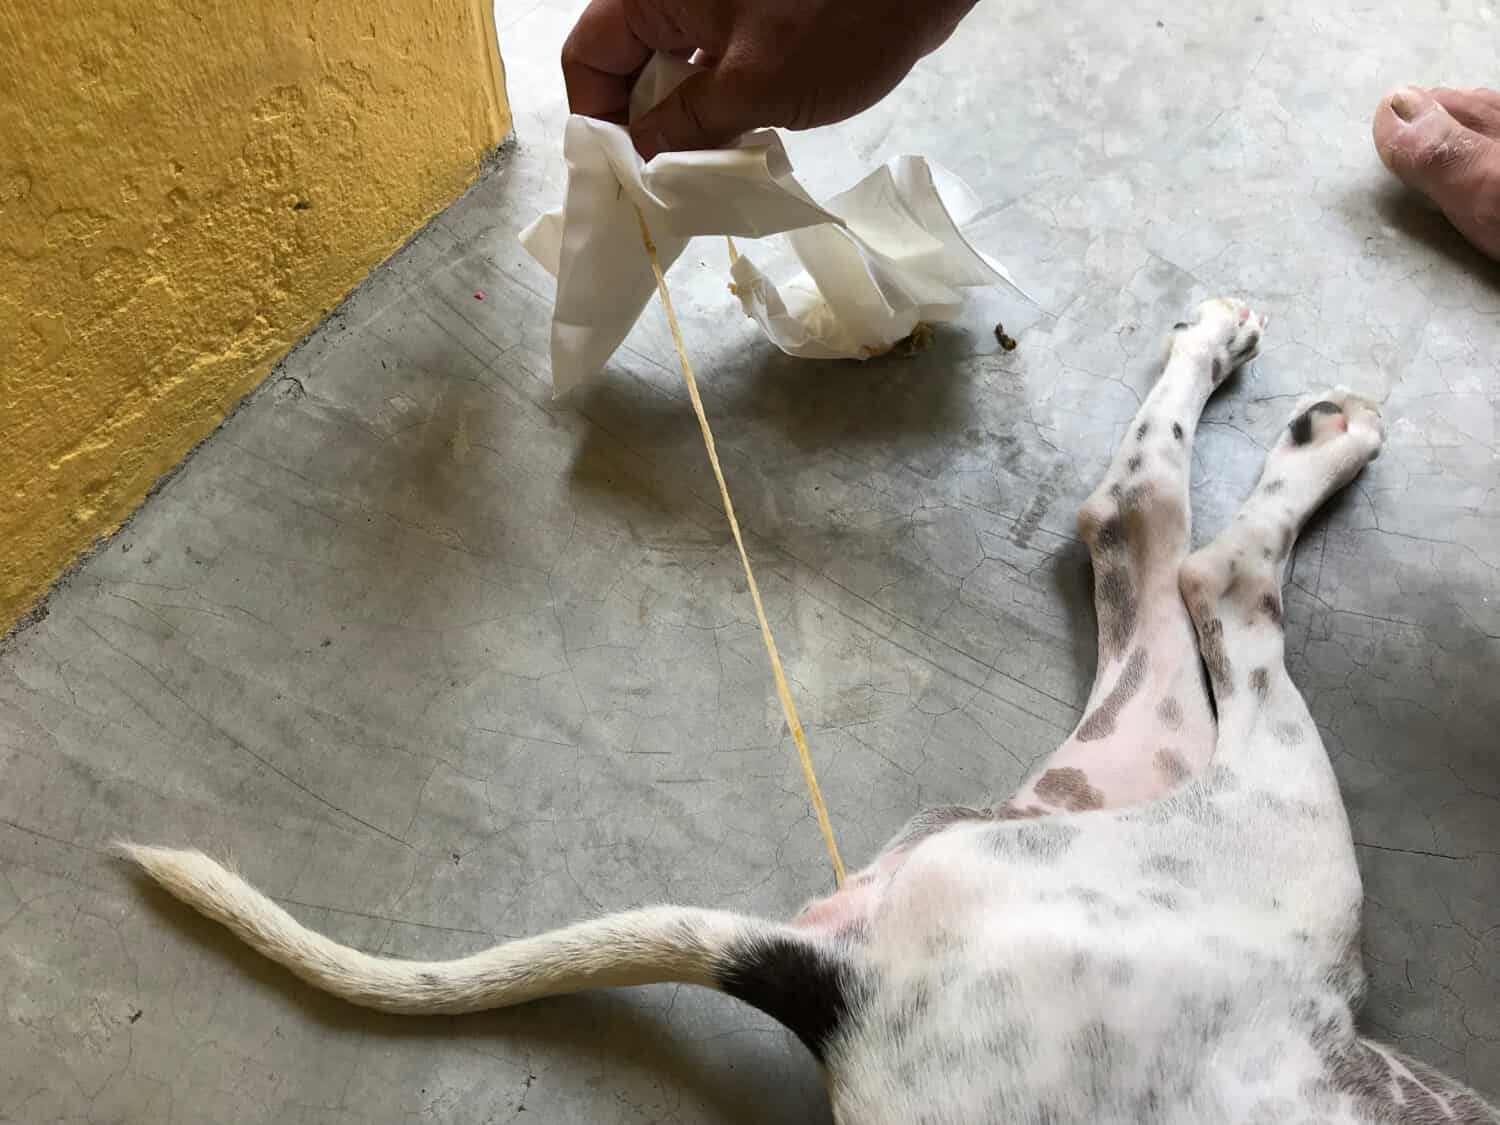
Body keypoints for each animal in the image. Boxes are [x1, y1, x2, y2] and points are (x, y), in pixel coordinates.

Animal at [123, 301, 1494, 1125]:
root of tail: (848, 982)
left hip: (1123, 766)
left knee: (1129, 531)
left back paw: (1216, 348)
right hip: (1282, 856)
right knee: (1212, 574)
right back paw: (1319, 446)